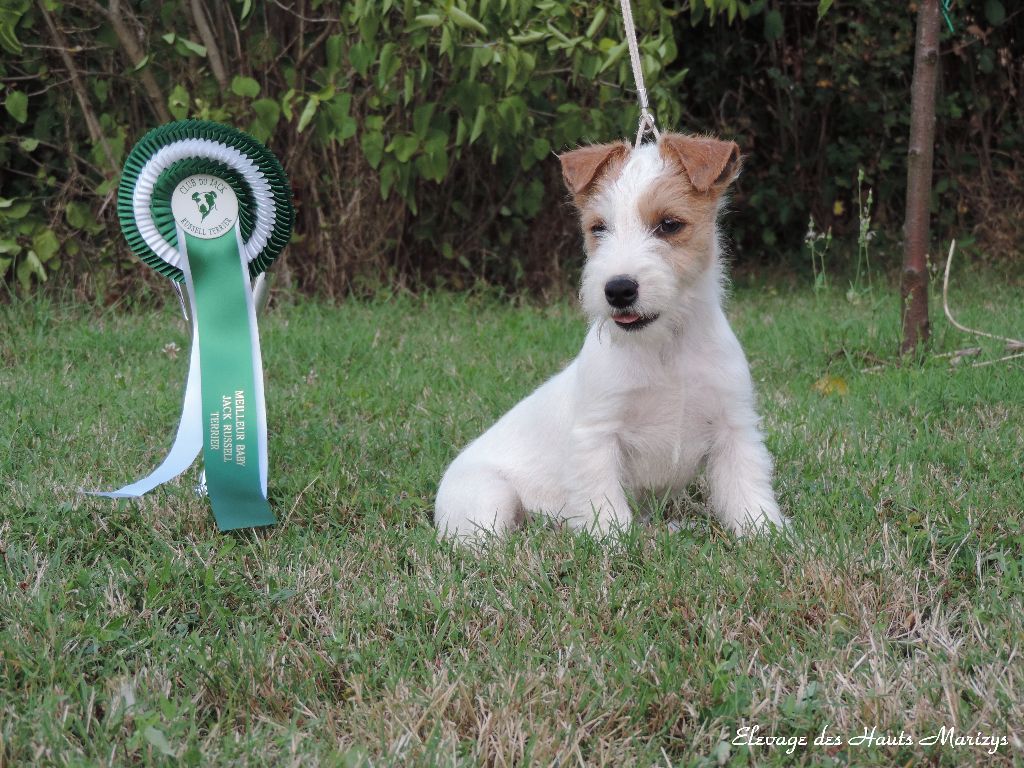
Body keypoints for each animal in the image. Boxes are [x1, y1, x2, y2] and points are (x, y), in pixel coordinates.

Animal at [434, 134, 782, 540]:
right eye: (598, 228)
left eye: (670, 224)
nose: (618, 290)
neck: (666, 347)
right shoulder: (597, 437)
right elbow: (606, 504)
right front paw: (614, 543)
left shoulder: (734, 428)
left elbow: (747, 490)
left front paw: (766, 535)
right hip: (488, 497)